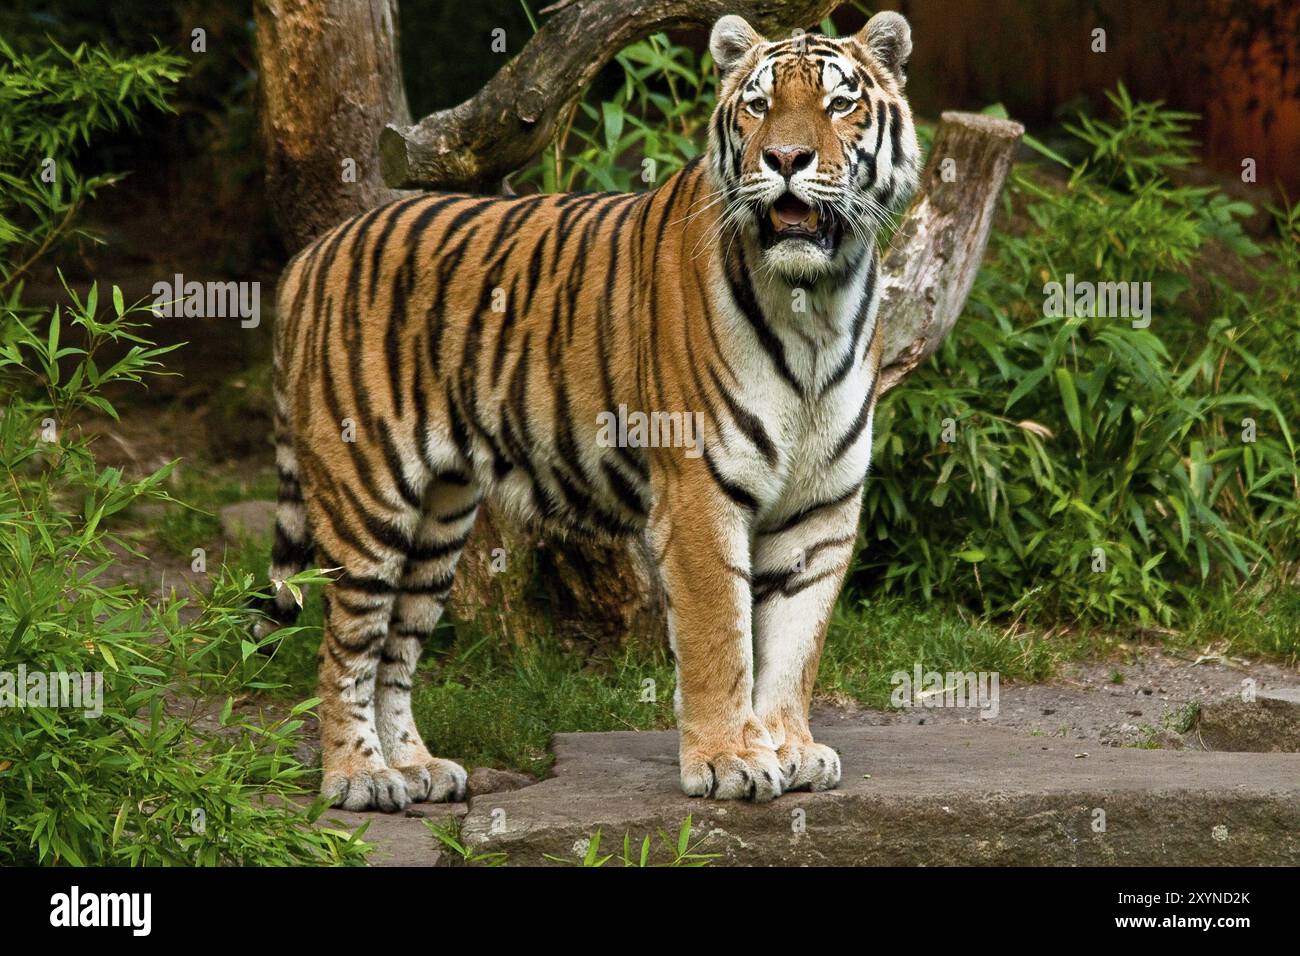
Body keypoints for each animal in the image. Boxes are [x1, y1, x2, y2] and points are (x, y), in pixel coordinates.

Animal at [258, 11, 920, 811]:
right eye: (759, 106)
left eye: (839, 103)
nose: (786, 157)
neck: (815, 303)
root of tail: (311, 254)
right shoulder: (700, 496)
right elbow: (720, 640)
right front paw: (730, 760)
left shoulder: (820, 510)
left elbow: (795, 647)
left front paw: (791, 749)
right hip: (367, 500)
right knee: (343, 651)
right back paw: (358, 778)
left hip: (438, 523)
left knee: (395, 649)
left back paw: (415, 768)